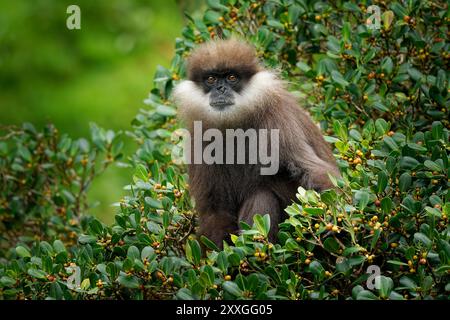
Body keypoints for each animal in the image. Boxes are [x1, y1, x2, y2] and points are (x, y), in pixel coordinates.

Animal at [171, 38, 338, 248]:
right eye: (211, 79)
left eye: (232, 77)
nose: (220, 89)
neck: (235, 126)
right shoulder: (200, 136)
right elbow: (215, 212)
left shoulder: (277, 120)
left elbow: (312, 169)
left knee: (262, 195)